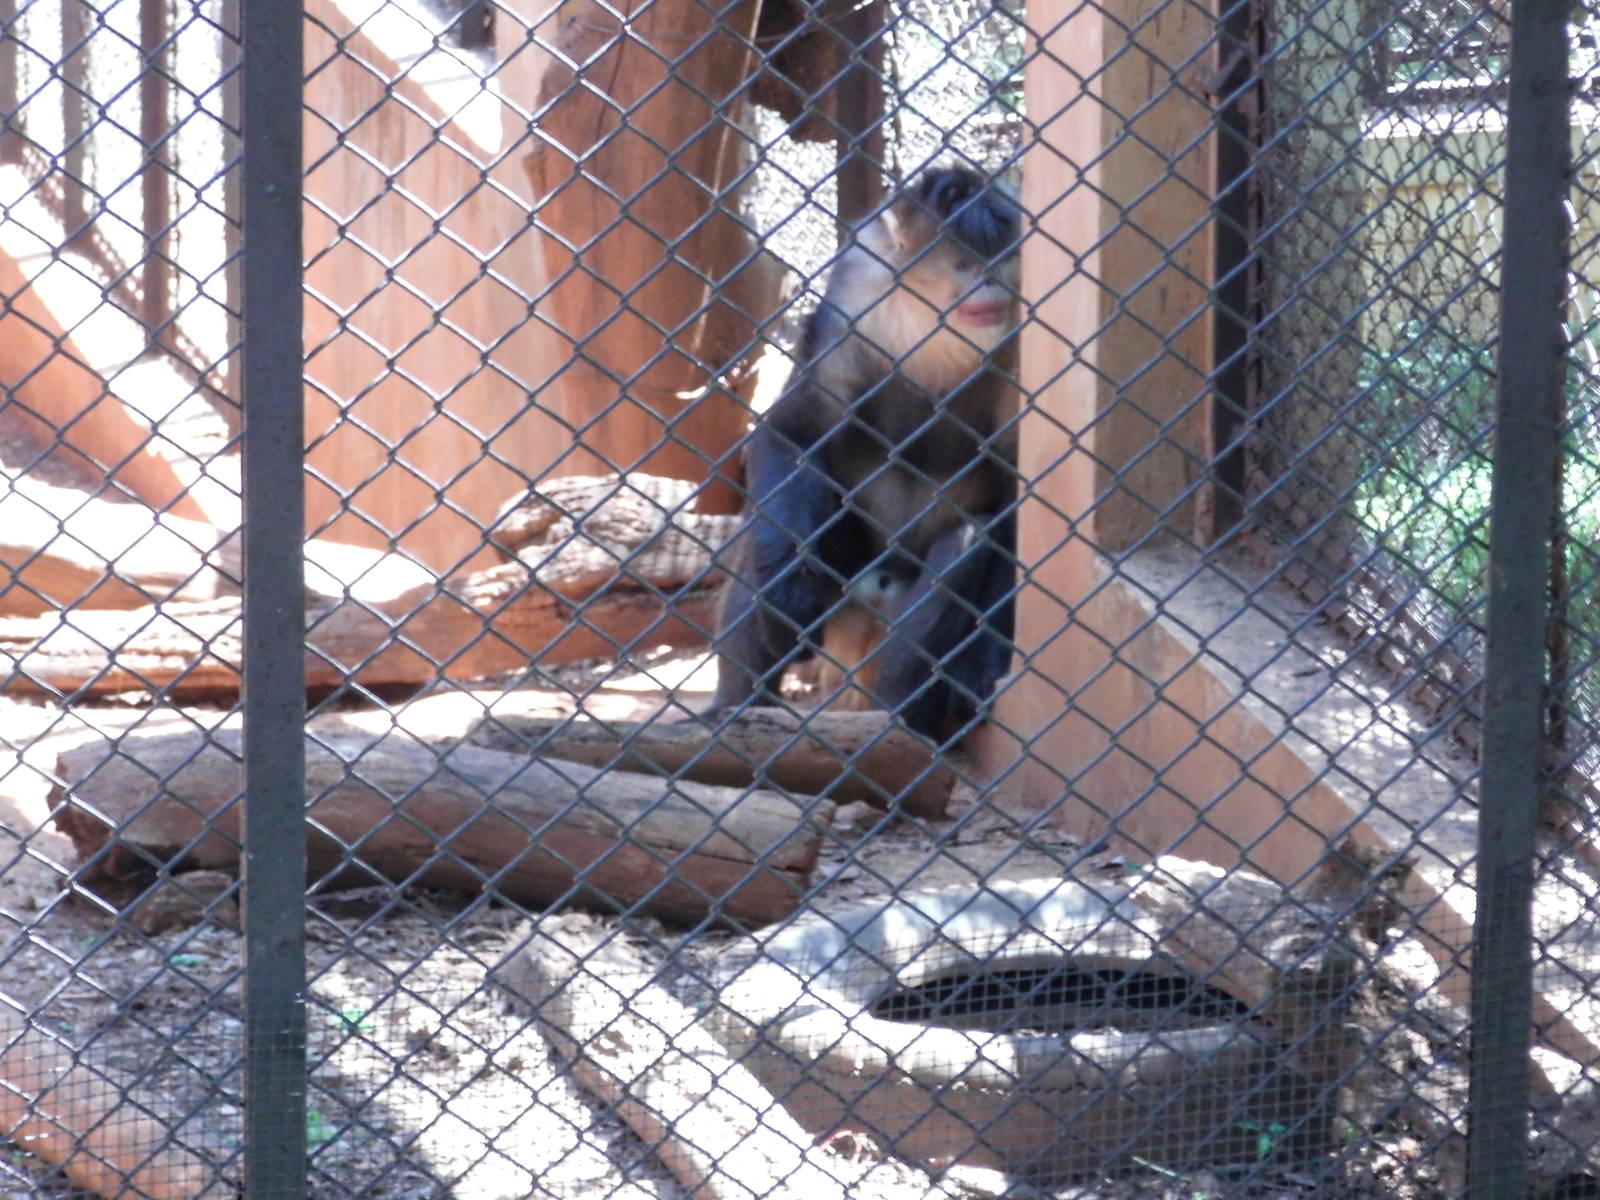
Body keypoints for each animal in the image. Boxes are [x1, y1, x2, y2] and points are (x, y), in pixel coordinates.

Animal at [707, 164, 1021, 742]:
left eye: (1001, 264)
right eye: (965, 265)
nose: (989, 288)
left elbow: (1018, 497)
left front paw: (983, 663)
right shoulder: (857, 288)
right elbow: (794, 432)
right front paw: (786, 596)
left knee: (967, 538)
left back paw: (902, 719)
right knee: (759, 536)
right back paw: (733, 709)